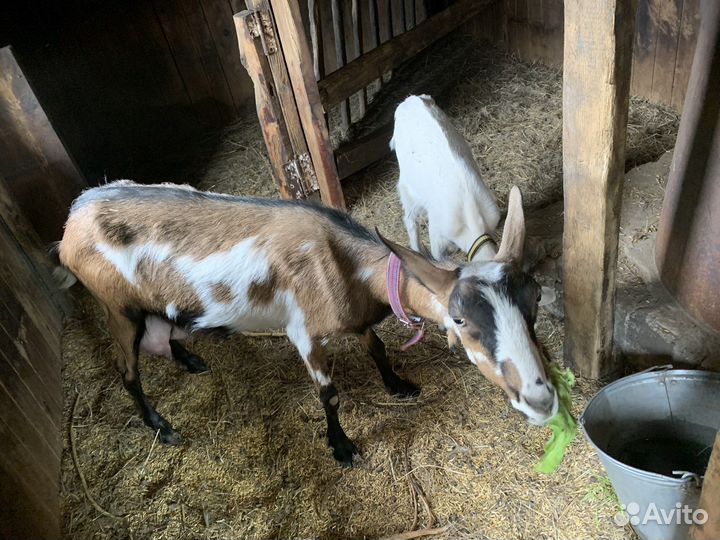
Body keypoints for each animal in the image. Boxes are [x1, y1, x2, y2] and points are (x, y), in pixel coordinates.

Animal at [55, 180, 558, 465]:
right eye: (459, 318)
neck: (349, 265)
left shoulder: (356, 316)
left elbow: (376, 347)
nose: (542, 399)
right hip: (117, 306)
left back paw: (190, 359)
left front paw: (397, 385)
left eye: (534, 297)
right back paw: (161, 426)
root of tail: (73, 217)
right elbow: (329, 394)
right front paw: (342, 448)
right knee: (127, 370)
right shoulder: (304, 332)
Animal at [391, 94, 501, 262]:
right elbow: (438, 256)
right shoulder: (437, 232)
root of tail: (409, 100)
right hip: (406, 185)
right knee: (410, 220)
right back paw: (417, 250)